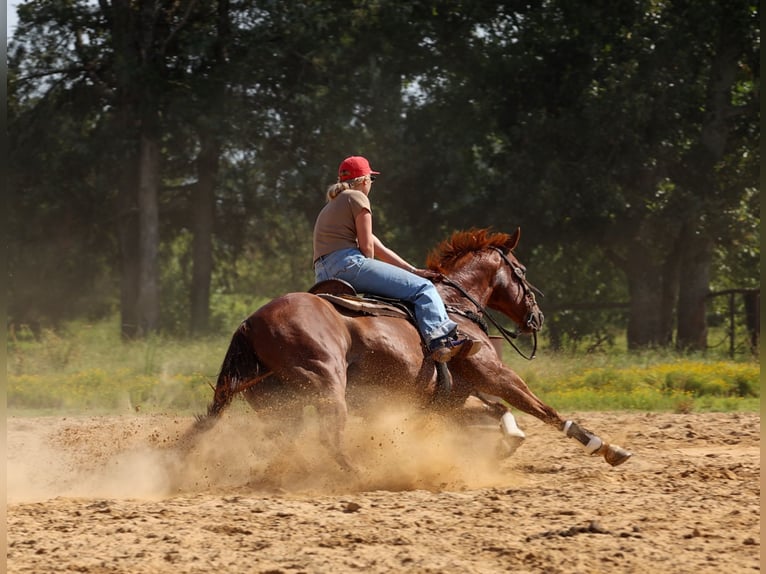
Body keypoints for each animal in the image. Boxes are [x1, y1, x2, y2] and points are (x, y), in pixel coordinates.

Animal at [193, 227, 631, 472]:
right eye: (521, 271)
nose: (536, 317)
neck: (455, 308)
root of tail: (251, 321)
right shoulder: (495, 375)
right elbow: (543, 410)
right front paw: (607, 447)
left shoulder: (449, 399)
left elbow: (499, 414)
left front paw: (507, 442)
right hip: (325, 383)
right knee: (329, 437)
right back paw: (359, 474)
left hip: (276, 401)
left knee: (283, 441)